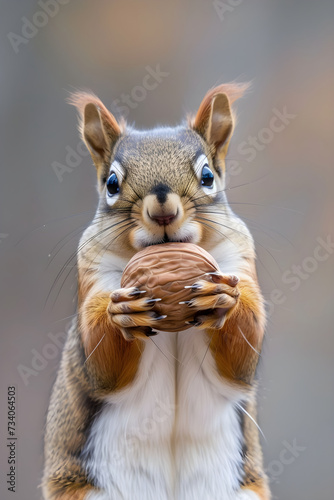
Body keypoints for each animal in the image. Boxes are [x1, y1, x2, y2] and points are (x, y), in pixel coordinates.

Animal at [42, 84, 272, 498]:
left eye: (208, 175)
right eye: (111, 184)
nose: (163, 210)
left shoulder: (238, 258)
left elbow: (241, 359)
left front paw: (224, 300)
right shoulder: (94, 272)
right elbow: (102, 367)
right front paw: (121, 315)